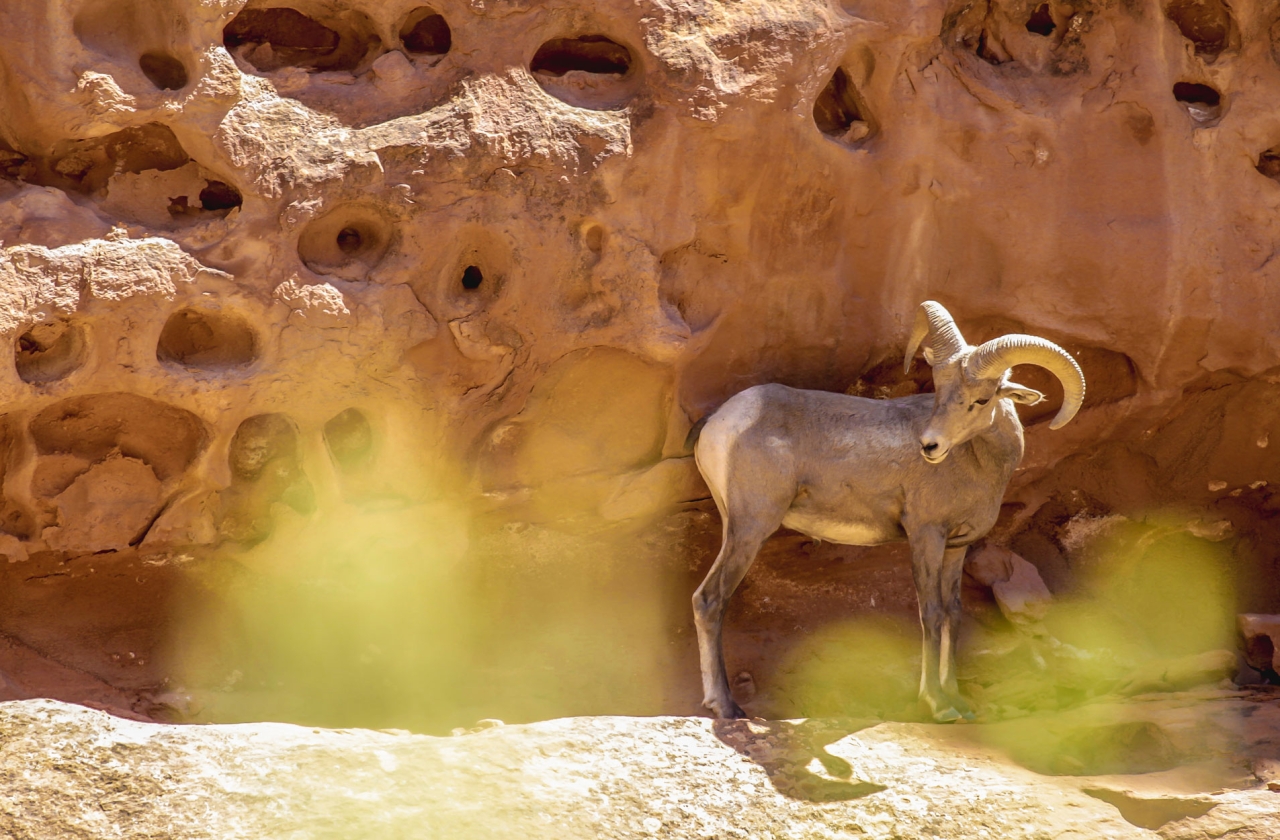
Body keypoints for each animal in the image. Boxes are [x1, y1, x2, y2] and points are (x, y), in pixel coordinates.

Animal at [686, 302, 1085, 722]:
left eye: (981, 400)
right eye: (940, 391)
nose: (930, 445)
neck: (977, 464)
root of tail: (720, 420)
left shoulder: (956, 546)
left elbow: (953, 614)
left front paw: (958, 702)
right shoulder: (926, 536)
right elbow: (932, 613)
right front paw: (939, 705)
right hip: (751, 526)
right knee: (709, 599)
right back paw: (726, 707)